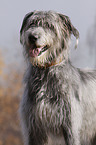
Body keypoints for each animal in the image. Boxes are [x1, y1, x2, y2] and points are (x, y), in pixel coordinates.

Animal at [19, 10, 96, 145]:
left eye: (49, 26)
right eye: (32, 23)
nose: (32, 37)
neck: (46, 72)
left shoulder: (71, 126)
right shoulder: (33, 128)